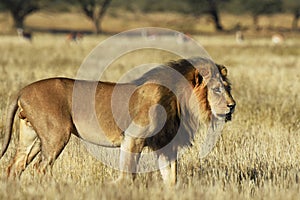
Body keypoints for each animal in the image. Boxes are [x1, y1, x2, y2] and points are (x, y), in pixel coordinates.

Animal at [0, 56, 234, 184]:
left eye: (227, 88)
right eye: (216, 89)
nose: (232, 105)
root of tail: (22, 91)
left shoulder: (165, 144)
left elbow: (171, 177)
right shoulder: (133, 137)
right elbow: (128, 173)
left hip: (30, 136)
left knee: (15, 166)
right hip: (56, 134)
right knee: (41, 168)